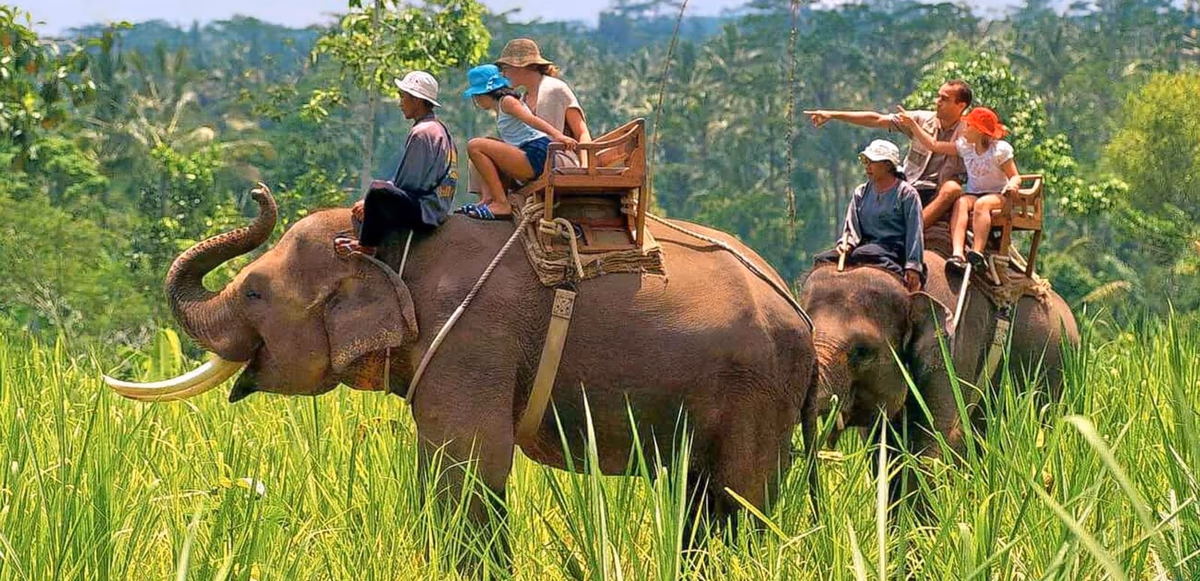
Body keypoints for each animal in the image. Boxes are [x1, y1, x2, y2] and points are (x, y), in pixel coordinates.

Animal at [106, 185, 817, 561]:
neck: (394, 245)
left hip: (754, 389)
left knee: (736, 495)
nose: (258, 193)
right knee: (706, 493)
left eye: (253, 292)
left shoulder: (473, 339)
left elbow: (471, 458)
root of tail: (800, 313)